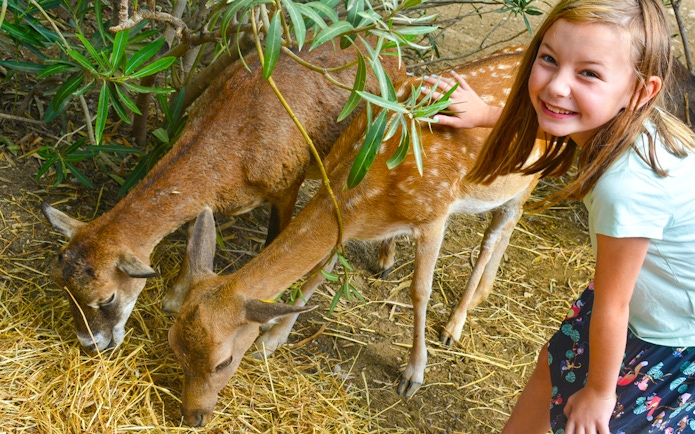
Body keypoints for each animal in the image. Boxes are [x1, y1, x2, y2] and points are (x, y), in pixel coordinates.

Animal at [41, 37, 405, 352]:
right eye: (62, 287)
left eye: (107, 298)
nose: (91, 344)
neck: (237, 142)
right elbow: (195, 236)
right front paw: (175, 298)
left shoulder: (288, 184)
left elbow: (274, 241)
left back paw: (385, 263)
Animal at [167, 47, 544, 427]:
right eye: (173, 342)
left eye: (223, 362)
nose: (192, 415)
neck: (367, 185)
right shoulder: (347, 220)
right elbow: (320, 271)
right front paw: (271, 340)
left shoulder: (434, 214)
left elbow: (419, 292)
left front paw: (414, 373)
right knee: (502, 228)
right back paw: (479, 295)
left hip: (528, 178)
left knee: (497, 232)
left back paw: (454, 324)